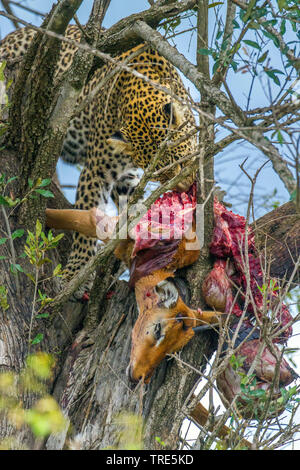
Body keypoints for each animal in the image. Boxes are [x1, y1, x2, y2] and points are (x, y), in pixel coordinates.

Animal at [1, 23, 198, 298]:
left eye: (180, 162)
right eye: (161, 174)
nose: (184, 187)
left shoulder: (126, 177)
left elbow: (133, 206)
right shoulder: (96, 171)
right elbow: (86, 219)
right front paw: (75, 273)